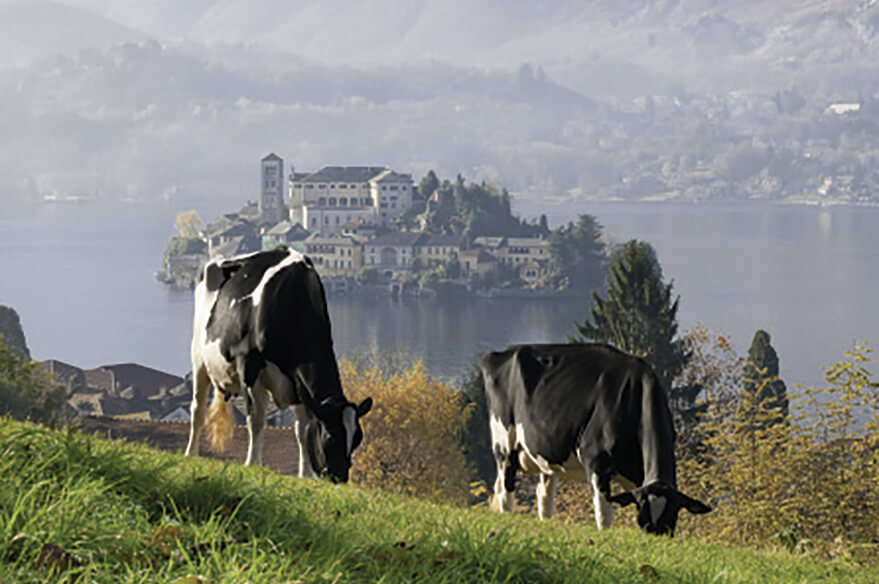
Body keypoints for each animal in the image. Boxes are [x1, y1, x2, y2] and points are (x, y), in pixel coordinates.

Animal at [186, 244, 372, 482]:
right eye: (331, 435)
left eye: (357, 439)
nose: (340, 477)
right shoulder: (249, 365)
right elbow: (256, 419)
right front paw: (252, 463)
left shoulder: (298, 381)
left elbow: (303, 430)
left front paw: (305, 474)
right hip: (199, 359)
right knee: (198, 409)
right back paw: (190, 453)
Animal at [484, 342, 712, 540]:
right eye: (643, 521)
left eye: (672, 519)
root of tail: (503, 352)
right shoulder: (595, 460)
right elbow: (604, 516)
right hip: (504, 445)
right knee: (506, 493)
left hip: (543, 458)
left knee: (543, 498)